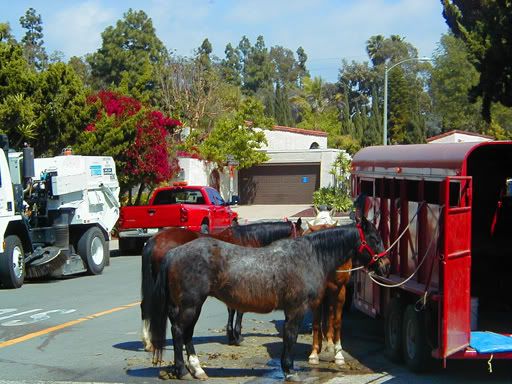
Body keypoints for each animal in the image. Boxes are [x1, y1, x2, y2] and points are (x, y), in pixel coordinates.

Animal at [139, 218, 304, 350]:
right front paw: (236, 336)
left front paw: (231, 336)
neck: (247, 239)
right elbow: (238, 311)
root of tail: (153, 240)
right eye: (301, 234)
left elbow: (231, 309)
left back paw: (149, 342)